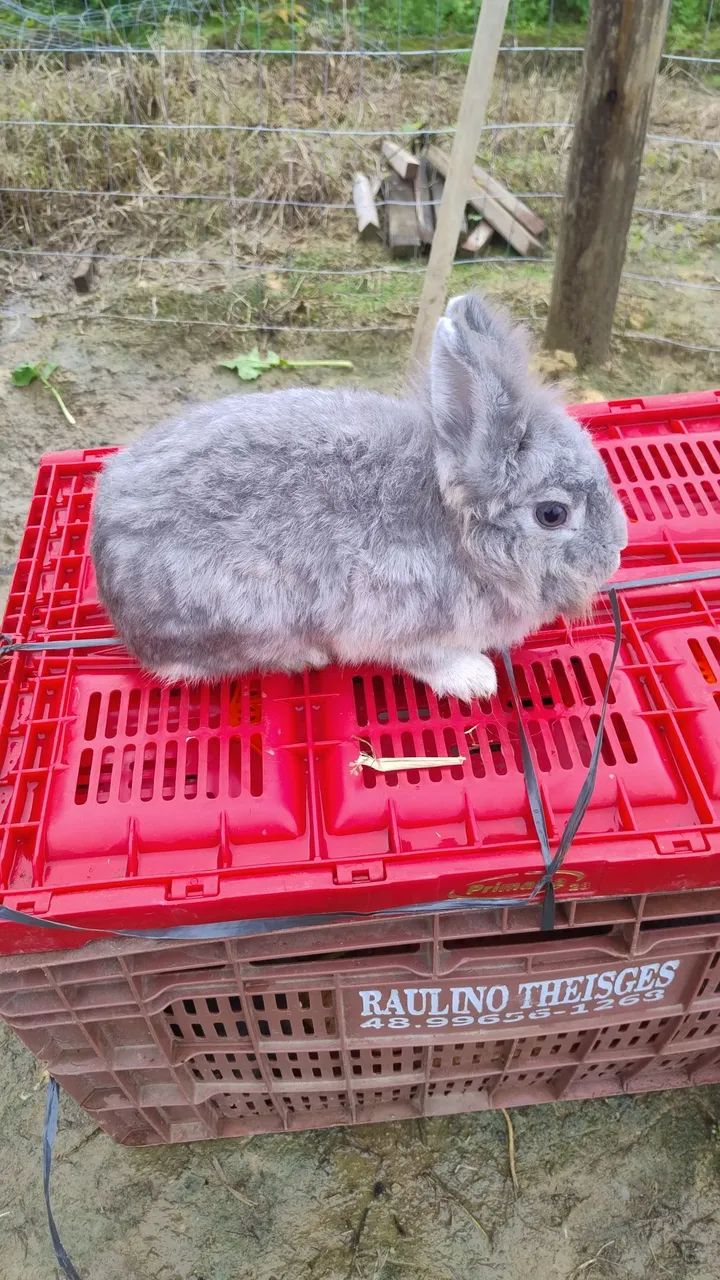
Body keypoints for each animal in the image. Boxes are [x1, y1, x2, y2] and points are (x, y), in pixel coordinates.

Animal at [91, 292, 627, 702]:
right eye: (552, 514)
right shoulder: (403, 624)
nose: (617, 551)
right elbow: (429, 658)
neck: (459, 531)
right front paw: (475, 679)